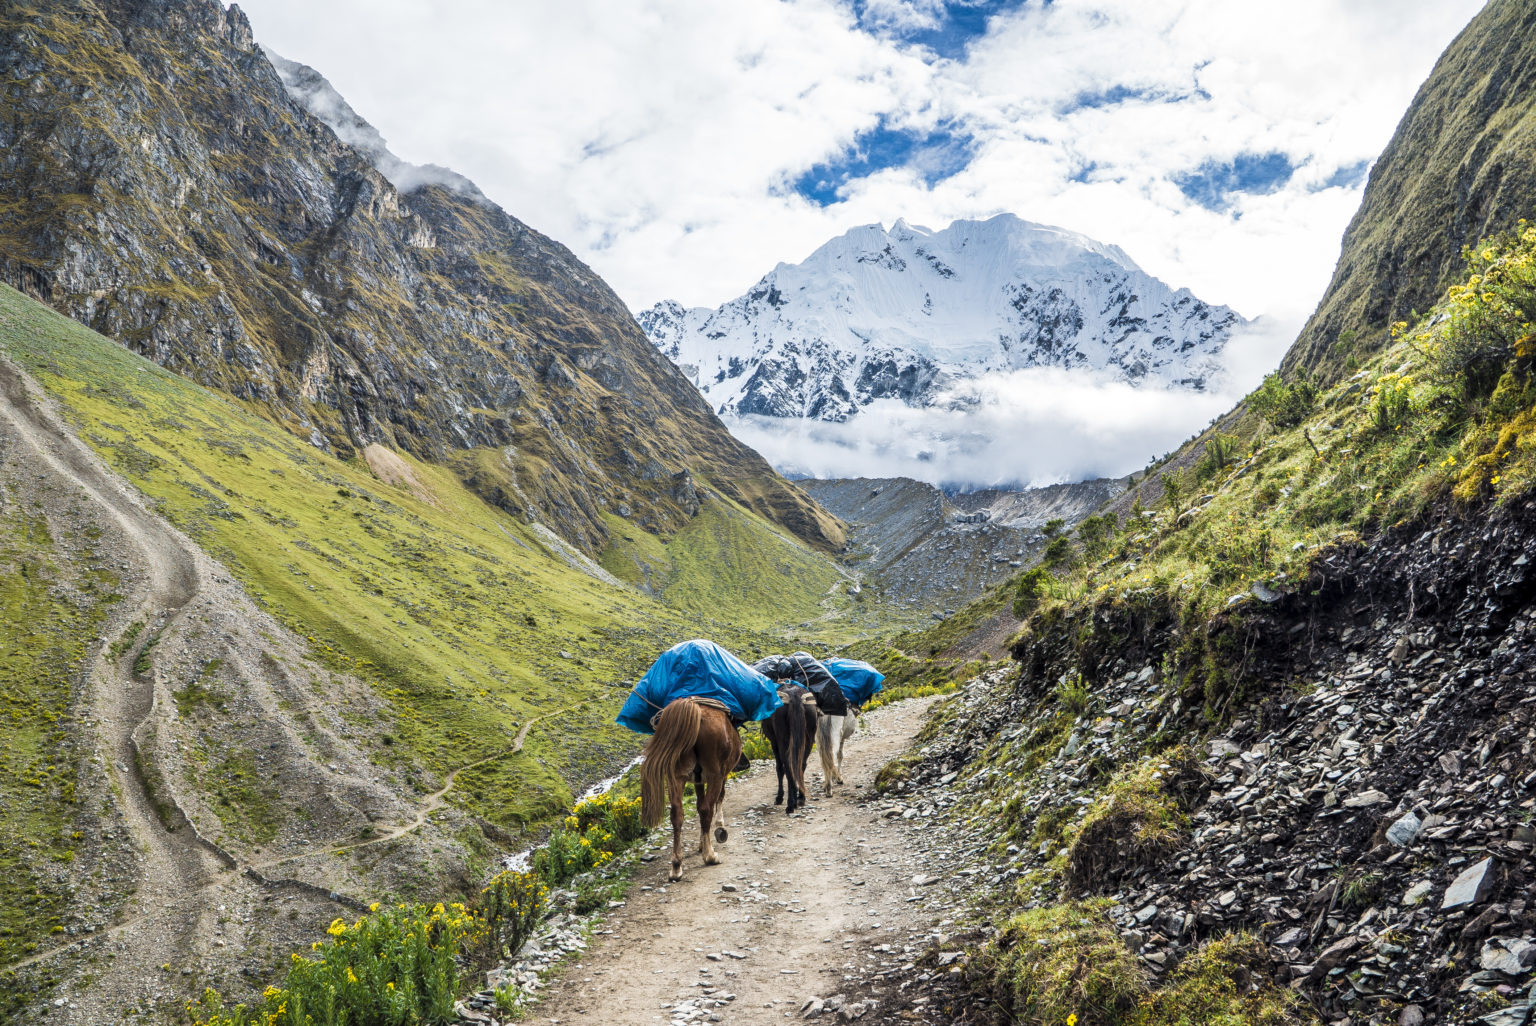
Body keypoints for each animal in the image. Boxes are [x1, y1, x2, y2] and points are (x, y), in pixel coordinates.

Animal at [638, 697, 740, 884]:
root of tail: (693, 706)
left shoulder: (697, 780)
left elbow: (699, 805)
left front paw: (701, 843)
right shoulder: (721, 775)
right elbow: (717, 799)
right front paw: (719, 829)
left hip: (676, 776)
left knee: (677, 814)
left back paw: (676, 867)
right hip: (714, 774)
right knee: (707, 809)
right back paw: (710, 856)